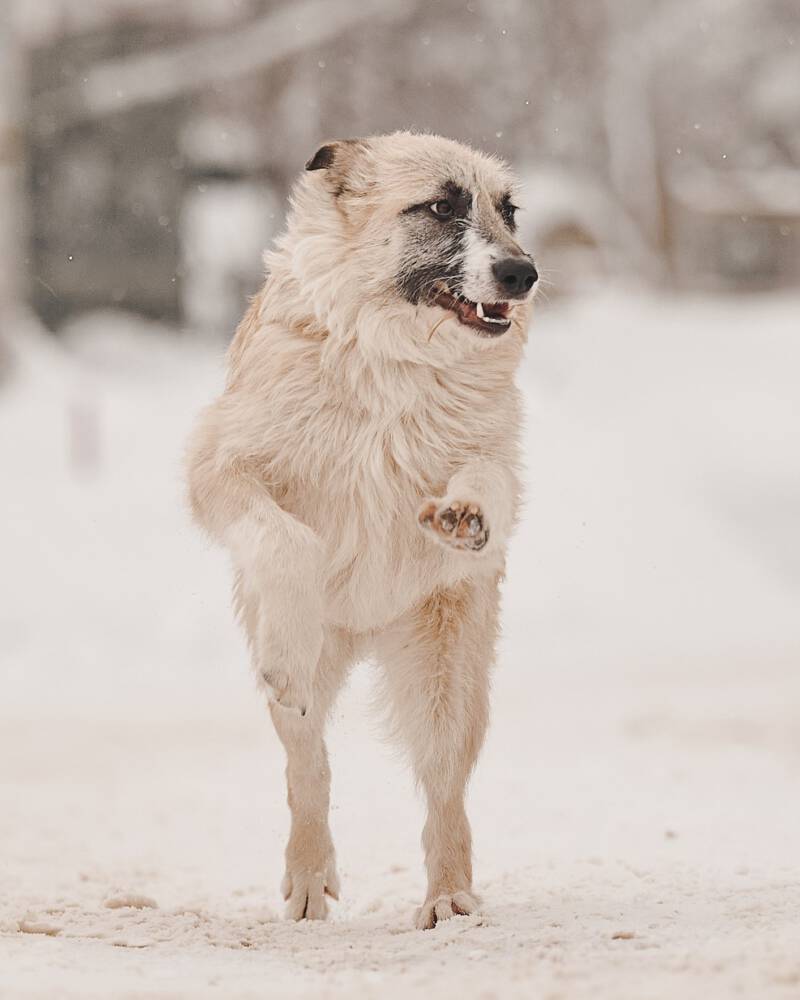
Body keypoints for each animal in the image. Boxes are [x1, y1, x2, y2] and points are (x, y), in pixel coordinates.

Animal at [186, 131, 537, 928]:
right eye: (439, 206)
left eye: (508, 212)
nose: (524, 273)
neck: (393, 355)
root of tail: (368, 629)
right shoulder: (222, 467)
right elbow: (291, 539)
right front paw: (291, 630)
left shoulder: (495, 458)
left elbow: (487, 483)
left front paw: (462, 516)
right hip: (317, 679)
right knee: (307, 758)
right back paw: (309, 876)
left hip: (447, 673)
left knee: (444, 792)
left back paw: (448, 899)